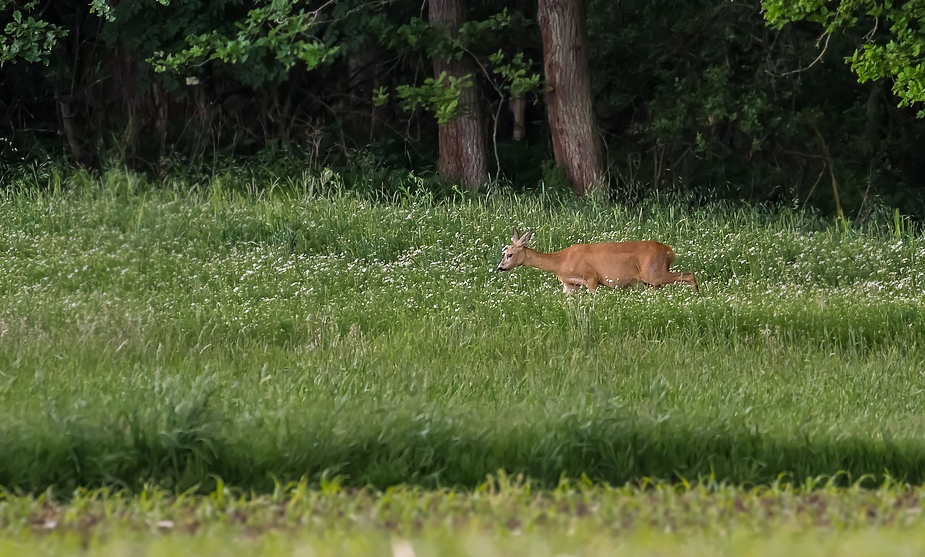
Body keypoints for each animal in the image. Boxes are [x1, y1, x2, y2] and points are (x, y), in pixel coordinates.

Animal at [494, 227, 696, 296]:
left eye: (509, 254)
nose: (500, 267)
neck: (560, 262)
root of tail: (669, 251)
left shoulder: (591, 277)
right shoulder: (569, 284)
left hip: (653, 273)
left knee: (689, 274)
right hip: (651, 281)